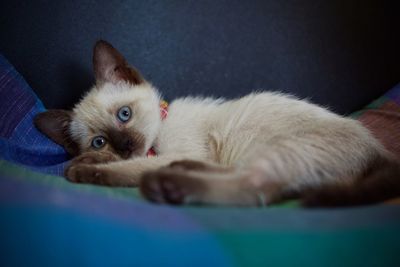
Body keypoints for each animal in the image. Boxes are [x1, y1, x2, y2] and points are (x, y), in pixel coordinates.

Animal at [35, 40, 400, 207]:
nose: (125, 146)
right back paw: (179, 173)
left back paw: (169, 185)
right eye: (99, 140)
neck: (155, 146)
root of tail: (378, 152)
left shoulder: (163, 154)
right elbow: (132, 164)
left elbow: (128, 170)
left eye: (124, 114)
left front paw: (81, 168)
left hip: (284, 149)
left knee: (253, 189)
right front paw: (92, 159)